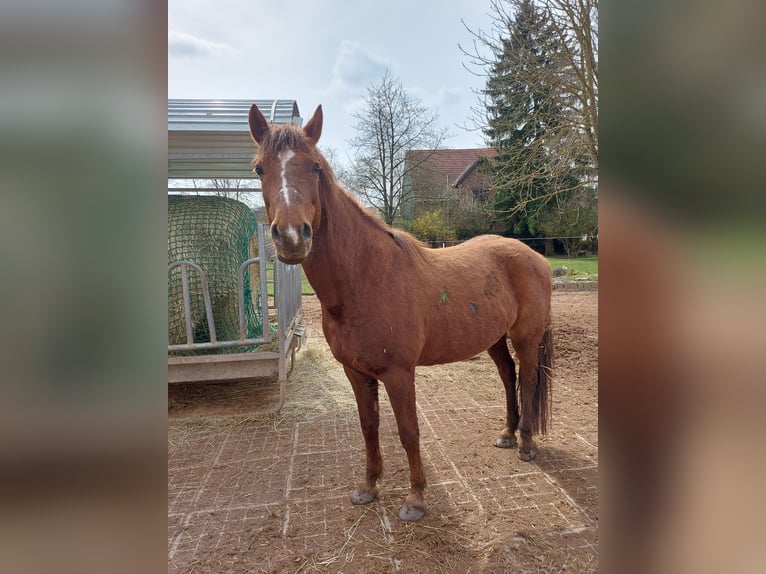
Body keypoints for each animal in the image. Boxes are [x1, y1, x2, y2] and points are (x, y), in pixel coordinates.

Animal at [248, 103, 553, 522]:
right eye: (260, 169)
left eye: (313, 167)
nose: (293, 237)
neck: (366, 279)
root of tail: (534, 256)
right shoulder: (356, 373)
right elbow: (369, 428)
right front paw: (368, 487)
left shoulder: (398, 373)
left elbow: (408, 431)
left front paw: (416, 498)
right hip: (493, 338)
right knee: (508, 377)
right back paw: (507, 434)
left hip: (525, 337)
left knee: (526, 380)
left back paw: (526, 444)